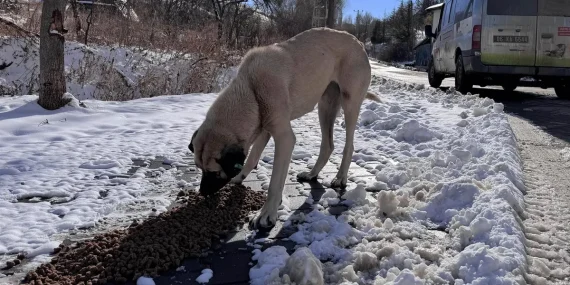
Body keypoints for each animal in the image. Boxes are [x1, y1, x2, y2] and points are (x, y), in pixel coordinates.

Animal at [189, 27, 380, 229]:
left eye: (214, 173)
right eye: (199, 168)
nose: (202, 192)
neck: (251, 88)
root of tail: (359, 43)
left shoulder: (284, 138)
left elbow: (275, 183)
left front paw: (266, 214)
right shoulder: (264, 128)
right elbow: (252, 156)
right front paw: (240, 176)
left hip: (349, 103)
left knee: (349, 145)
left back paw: (340, 177)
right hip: (325, 106)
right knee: (328, 145)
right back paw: (311, 174)